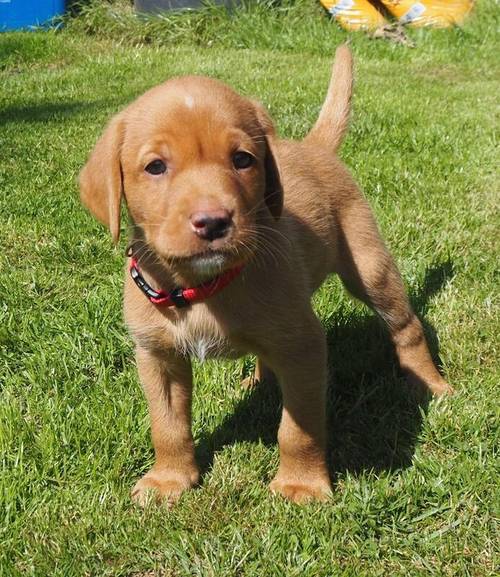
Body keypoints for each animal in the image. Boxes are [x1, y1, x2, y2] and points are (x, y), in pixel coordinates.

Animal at [80, 45, 452, 504]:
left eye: (243, 160)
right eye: (155, 167)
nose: (213, 222)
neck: (202, 288)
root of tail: (314, 148)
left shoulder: (305, 348)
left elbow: (298, 430)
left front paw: (300, 484)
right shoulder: (157, 356)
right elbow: (167, 427)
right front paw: (169, 479)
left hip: (370, 268)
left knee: (406, 326)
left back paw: (430, 383)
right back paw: (259, 383)